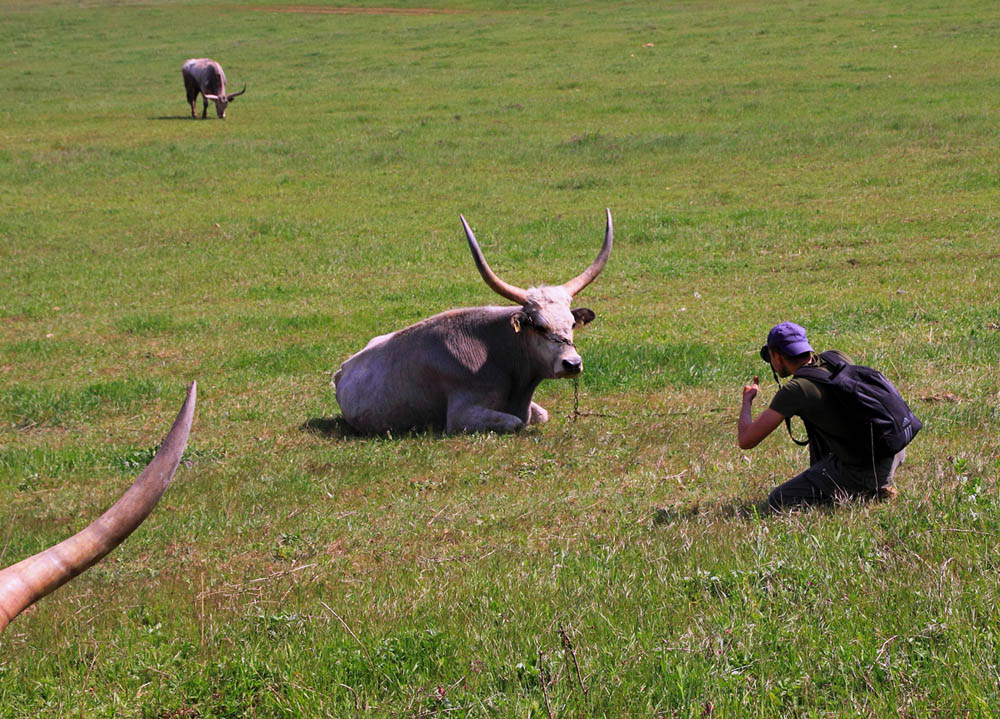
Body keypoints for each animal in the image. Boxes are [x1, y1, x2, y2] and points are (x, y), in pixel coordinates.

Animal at [336, 208, 612, 434]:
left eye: (572, 324)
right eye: (539, 326)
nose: (572, 363)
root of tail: (342, 369)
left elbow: (542, 415)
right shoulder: (461, 416)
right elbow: (516, 422)